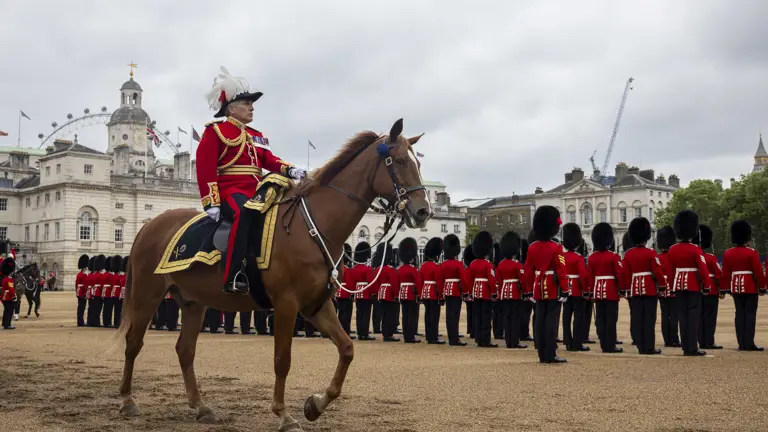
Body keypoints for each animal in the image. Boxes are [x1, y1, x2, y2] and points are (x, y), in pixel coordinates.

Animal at [114, 119, 432, 431]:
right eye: (400, 161)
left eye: (419, 163)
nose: (423, 212)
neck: (315, 226)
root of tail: (150, 224)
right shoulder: (286, 304)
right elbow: (282, 360)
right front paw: (284, 415)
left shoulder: (317, 305)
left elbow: (347, 349)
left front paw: (315, 405)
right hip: (147, 294)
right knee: (133, 343)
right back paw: (127, 401)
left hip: (193, 302)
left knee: (185, 350)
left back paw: (201, 408)